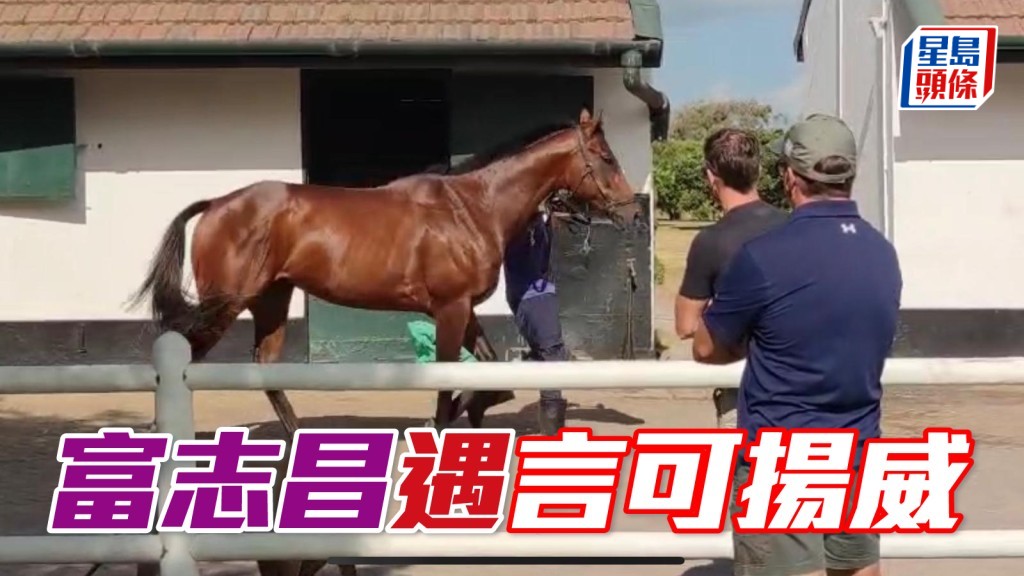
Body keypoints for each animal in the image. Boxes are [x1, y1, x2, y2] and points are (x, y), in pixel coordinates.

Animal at [129, 106, 639, 576]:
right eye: (606, 157)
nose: (633, 212)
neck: (471, 209)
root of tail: (216, 203)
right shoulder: (450, 309)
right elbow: (445, 387)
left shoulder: (462, 310)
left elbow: (490, 374)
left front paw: (475, 412)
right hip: (226, 305)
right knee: (186, 359)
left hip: (271, 299)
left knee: (265, 368)